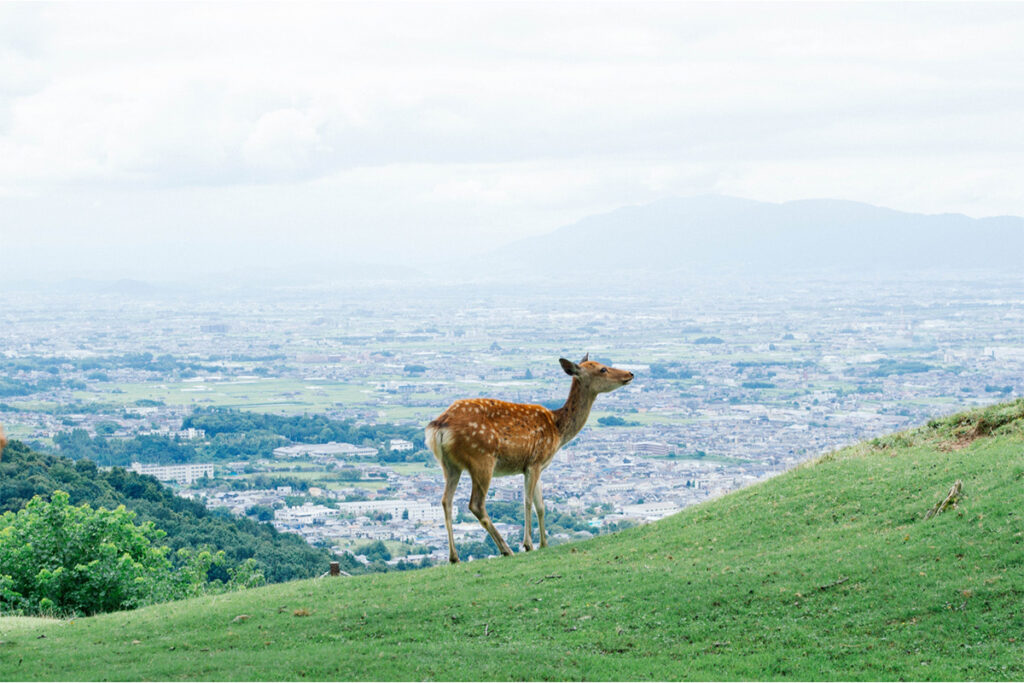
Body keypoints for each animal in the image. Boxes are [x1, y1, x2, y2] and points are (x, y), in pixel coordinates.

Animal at [423, 356, 630, 565]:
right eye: (602, 369)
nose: (629, 373)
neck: (558, 431)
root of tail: (439, 427)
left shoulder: (538, 466)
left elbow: (541, 506)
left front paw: (544, 544)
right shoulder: (534, 461)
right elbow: (528, 501)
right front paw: (528, 544)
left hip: (449, 465)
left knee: (446, 501)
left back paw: (454, 557)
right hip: (482, 459)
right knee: (476, 504)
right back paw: (506, 549)